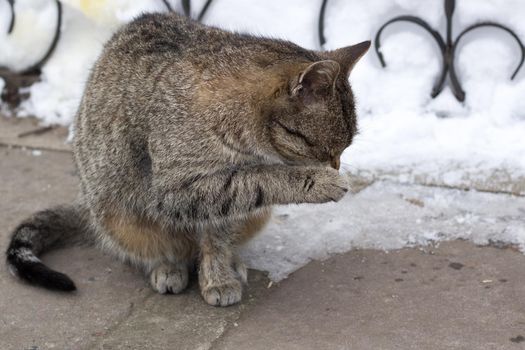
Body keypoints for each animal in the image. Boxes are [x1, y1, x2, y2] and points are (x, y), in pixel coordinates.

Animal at [6, 12, 370, 304]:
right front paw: (316, 181)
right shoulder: (173, 191)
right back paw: (166, 267)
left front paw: (218, 275)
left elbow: (218, 236)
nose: (335, 166)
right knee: (151, 247)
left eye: (344, 150)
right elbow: (260, 179)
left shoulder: (223, 206)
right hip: (118, 214)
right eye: (327, 150)